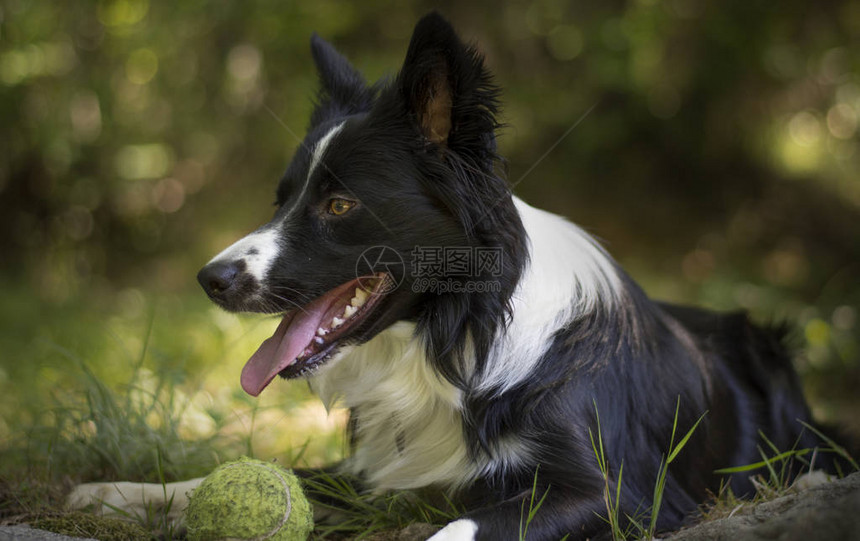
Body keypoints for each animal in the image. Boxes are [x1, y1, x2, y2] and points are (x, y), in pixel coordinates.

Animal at [70, 12, 844, 540]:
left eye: (339, 204)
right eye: (281, 197)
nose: (210, 278)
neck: (457, 338)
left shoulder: (615, 491)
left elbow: (460, 526)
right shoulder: (380, 471)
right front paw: (119, 492)